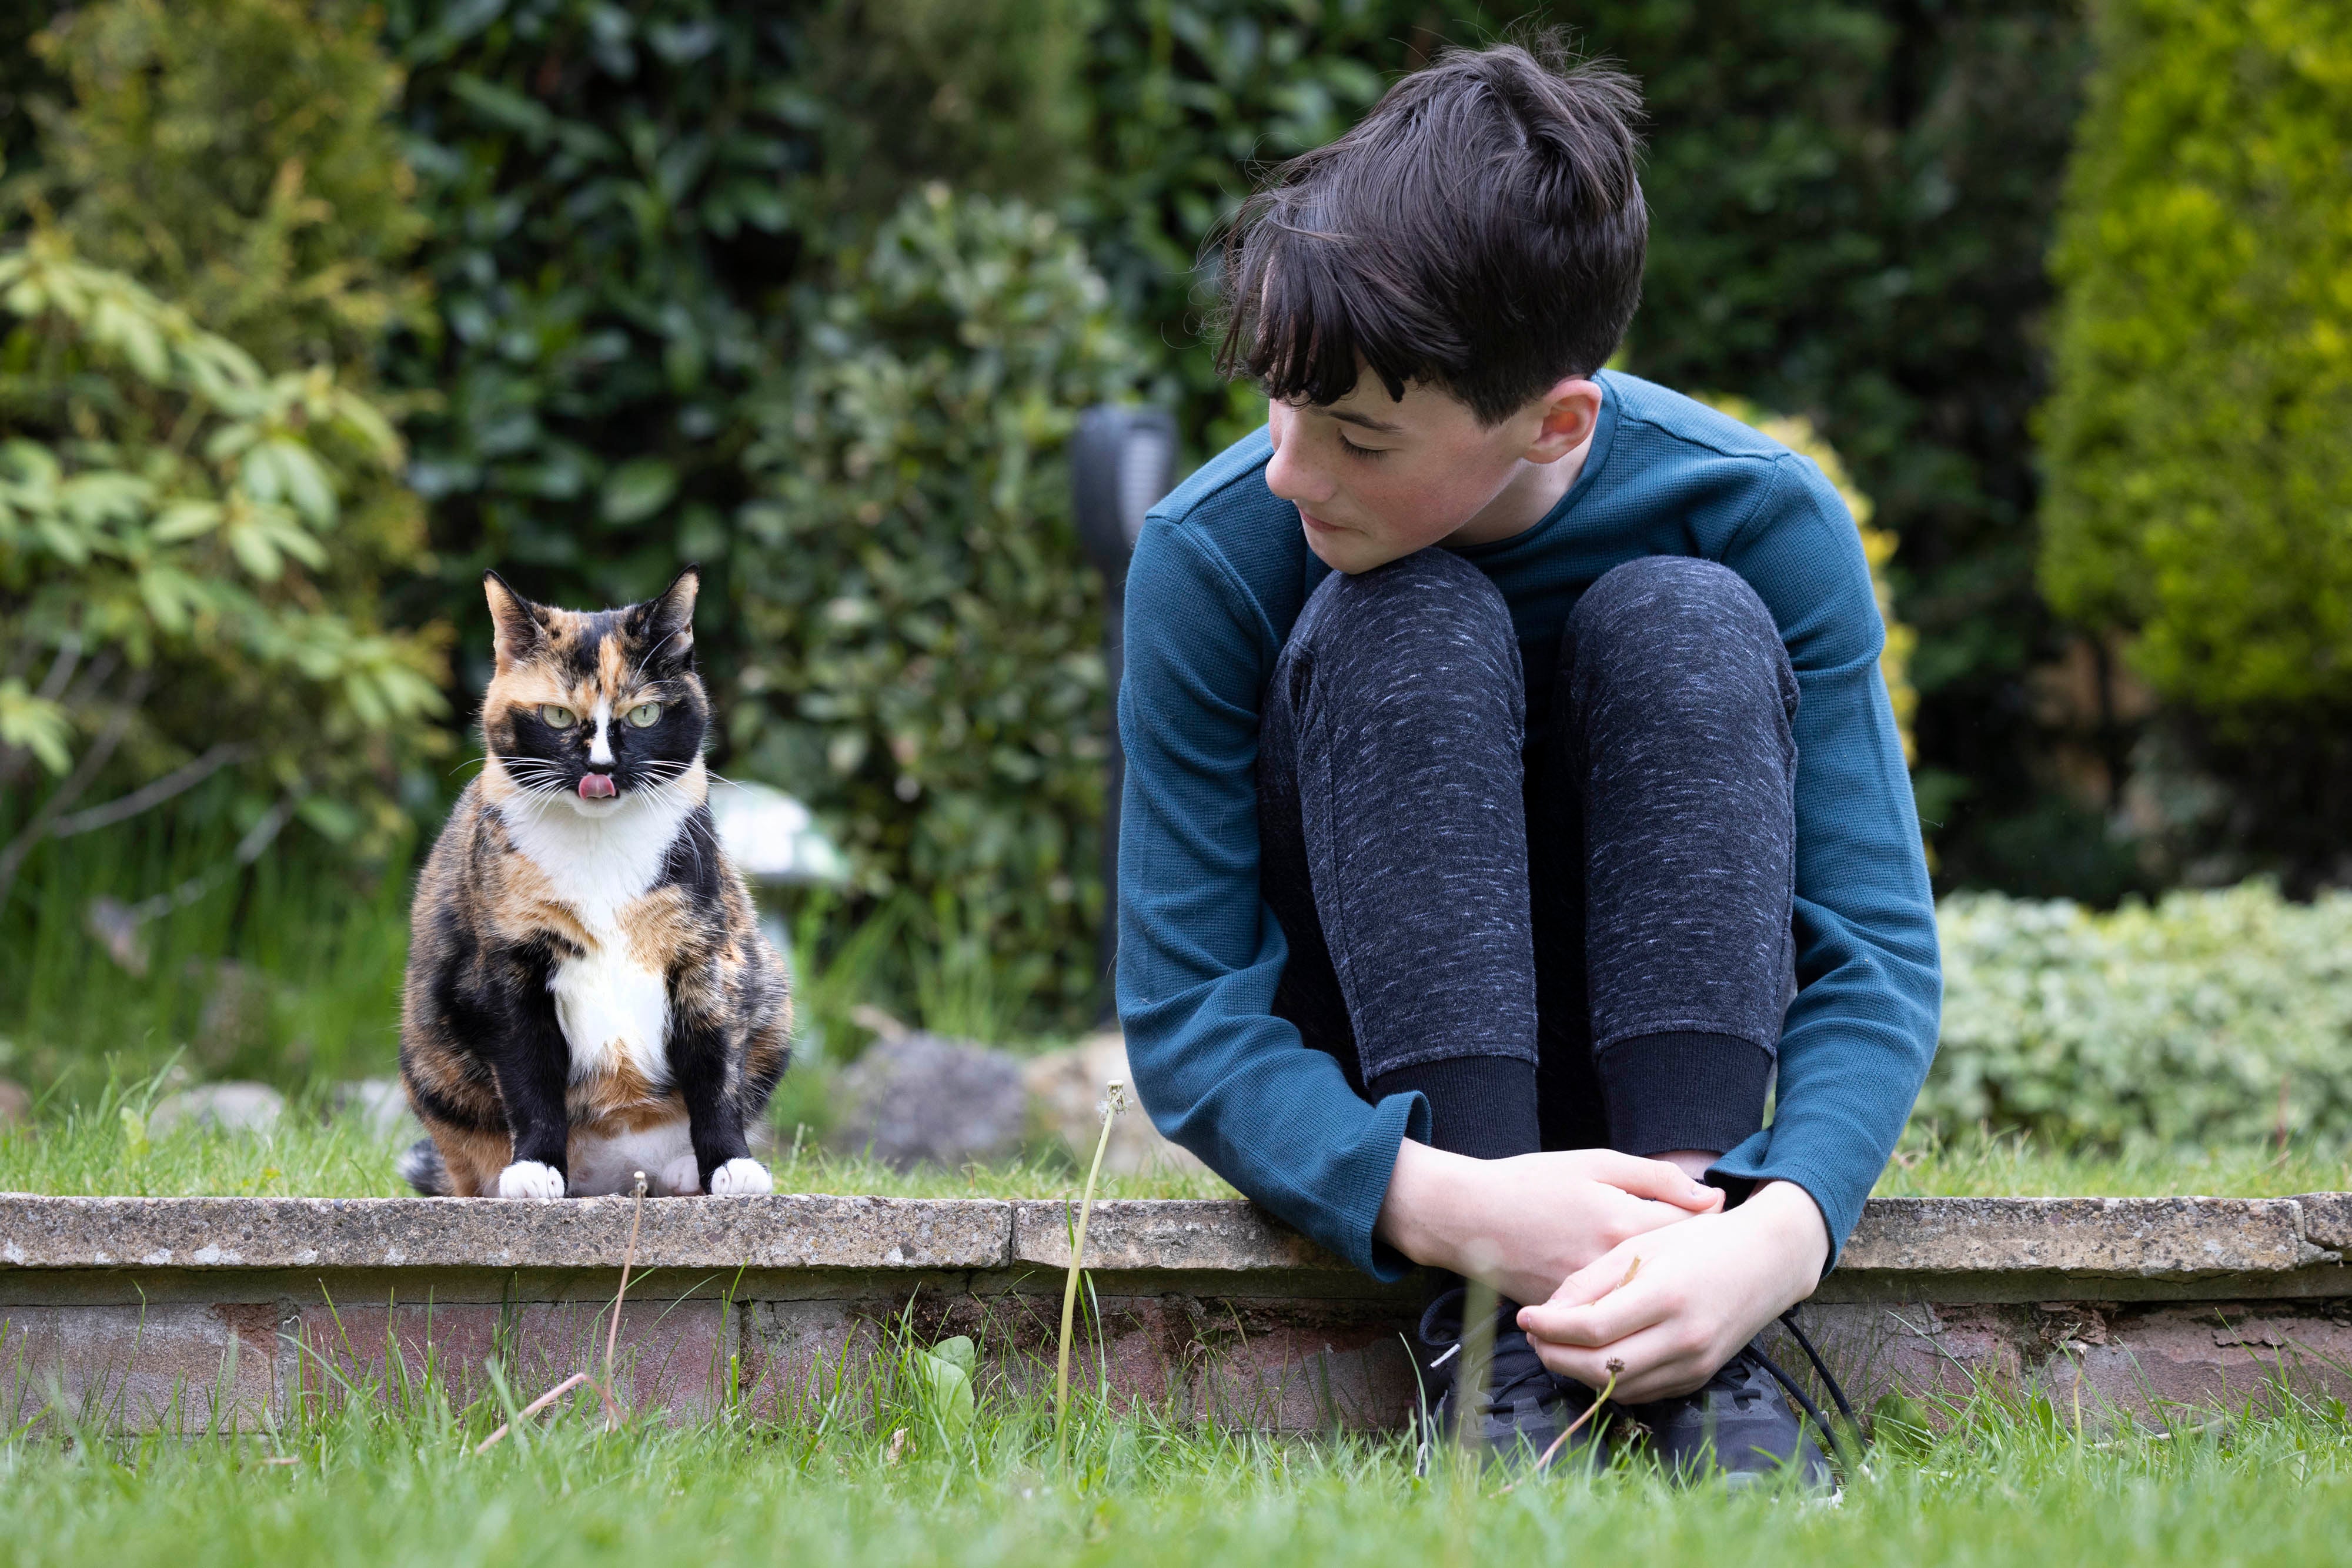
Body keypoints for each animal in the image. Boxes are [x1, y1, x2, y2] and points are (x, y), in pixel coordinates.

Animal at [390, 571, 786, 1194]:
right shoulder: (507, 966)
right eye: (555, 716)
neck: (600, 848)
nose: (600, 768)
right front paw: (535, 1169)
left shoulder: (708, 953)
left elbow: (716, 1066)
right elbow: (529, 1074)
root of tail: (619, 1176)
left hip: (772, 985)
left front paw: (730, 1165)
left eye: (645, 715)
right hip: (428, 1056)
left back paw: (684, 1171)